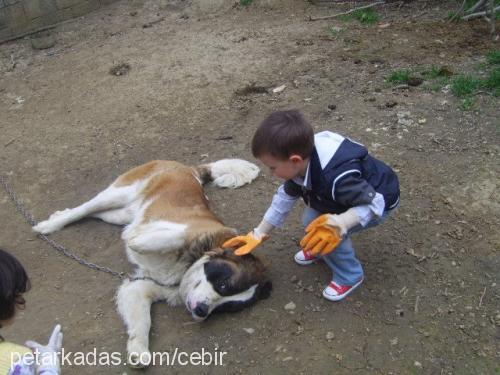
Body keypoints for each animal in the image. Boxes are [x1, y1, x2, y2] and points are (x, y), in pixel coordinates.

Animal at [33, 160, 272, 368]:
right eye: (223, 285)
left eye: (226, 307)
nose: (202, 311)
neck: (187, 267)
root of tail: (189, 169)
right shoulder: (167, 231)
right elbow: (169, 237)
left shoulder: (140, 286)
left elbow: (142, 320)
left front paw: (139, 350)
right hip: (119, 194)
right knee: (85, 209)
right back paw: (50, 225)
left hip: (120, 214)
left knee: (99, 214)